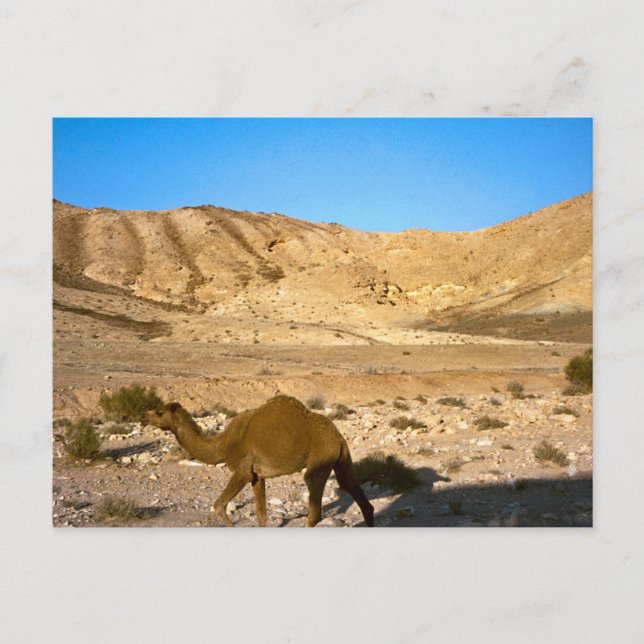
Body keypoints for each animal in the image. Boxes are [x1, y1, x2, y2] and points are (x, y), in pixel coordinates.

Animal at [145, 395, 374, 527]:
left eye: (160, 412)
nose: (146, 416)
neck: (223, 444)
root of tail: (338, 437)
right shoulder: (257, 475)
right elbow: (261, 513)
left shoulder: (243, 470)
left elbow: (219, 505)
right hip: (342, 460)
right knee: (358, 495)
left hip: (319, 461)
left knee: (314, 509)